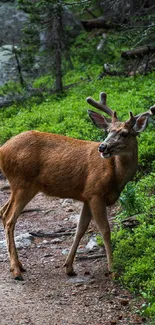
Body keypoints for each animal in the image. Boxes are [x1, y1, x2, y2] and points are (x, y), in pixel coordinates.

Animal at [0, 91, 154, 278]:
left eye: (125, 133)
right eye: (107, 130)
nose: (102, 147)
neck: (116, 176)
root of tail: (2, 149)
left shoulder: (87, 196)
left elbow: (80, 229)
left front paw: (69, 267)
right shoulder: (95, 193)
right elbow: (105, 230)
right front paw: (113, 269)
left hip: (19, 186)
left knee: (3, 211)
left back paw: (19, 265)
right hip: (23, 183)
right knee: (9, 218)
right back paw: (16, 270)